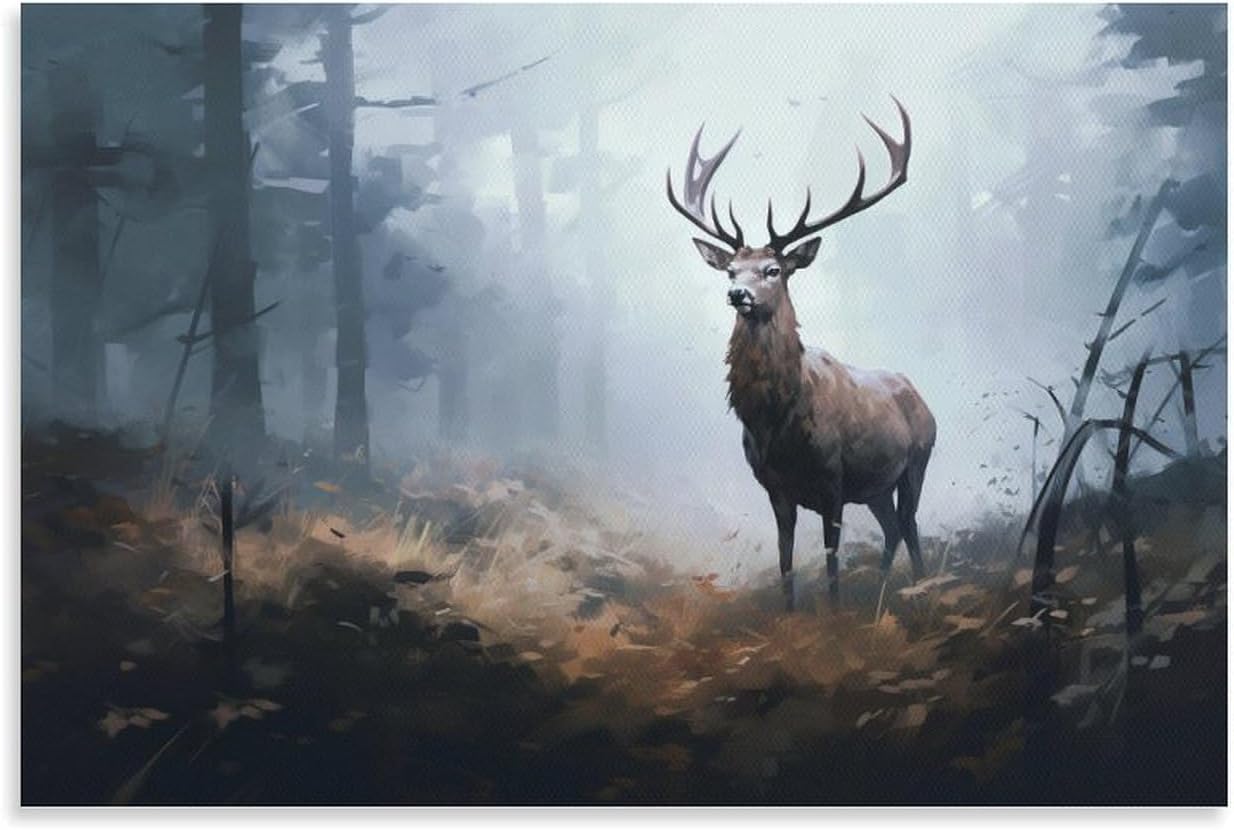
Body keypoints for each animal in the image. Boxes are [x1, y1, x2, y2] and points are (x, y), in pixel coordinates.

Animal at [666, 98, 936, 610]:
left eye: (773, 269)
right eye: (731, 269)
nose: (737, 295)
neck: (779, 422)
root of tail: (920, 396)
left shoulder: (833, 479)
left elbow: (830, 563)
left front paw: (834, 615)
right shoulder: (775, 488)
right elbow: (785, 560)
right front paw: (792, 616)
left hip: (917, 461)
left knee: (911, 526)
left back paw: (916, 587)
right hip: (875, 487)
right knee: (893, 527)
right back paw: (884, 590)